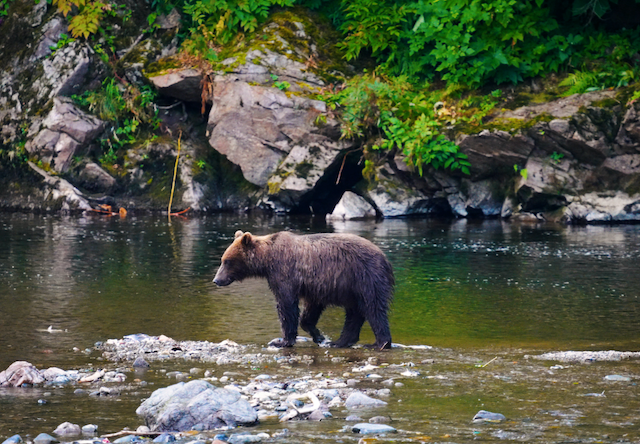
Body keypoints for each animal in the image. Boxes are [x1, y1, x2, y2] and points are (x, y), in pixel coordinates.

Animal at [213, 230, 394, 350]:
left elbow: (286, 305)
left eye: (227, 261)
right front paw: (319, 336)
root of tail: (385, 258)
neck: (267, 260)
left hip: (365, 277)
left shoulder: (284, 272)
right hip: (352, 288)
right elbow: (310, 310)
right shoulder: (314, 286)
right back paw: (340, 342)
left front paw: (282, 341)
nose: (217, 280)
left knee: (373, 308)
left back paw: (379, 343)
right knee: (355, 312)